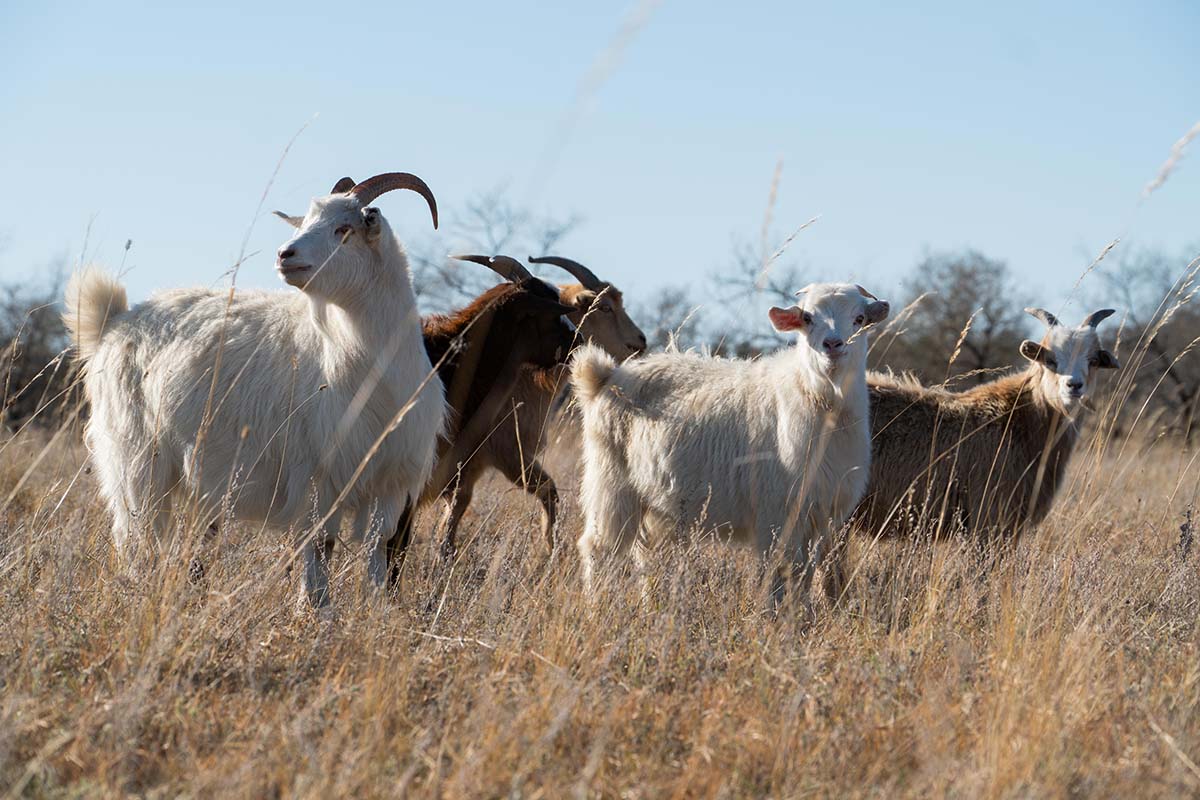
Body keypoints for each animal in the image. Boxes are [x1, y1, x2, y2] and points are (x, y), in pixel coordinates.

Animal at [63, 170, 446, 606]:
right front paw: (315, 610)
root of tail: (114, 323)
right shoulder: (315, 481)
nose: (285, 255)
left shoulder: (389, 482)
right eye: (304, 222)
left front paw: (376, 609)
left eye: (344, 229)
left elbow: (376, 548)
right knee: (136, 534)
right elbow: (319, 549)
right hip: (136, 462)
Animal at [571, 283, 892, 614]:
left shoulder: (817, 518)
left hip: (658, 507)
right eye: (807, 318)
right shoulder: (777, 516)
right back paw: (598, 607)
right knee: (600, 550)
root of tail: (606, 377)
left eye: (859, 318)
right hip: (611, 485)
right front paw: (775, 620)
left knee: (647, 552)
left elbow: (802, 576)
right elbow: (779, 575)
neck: (817, 397)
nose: (832, 345)